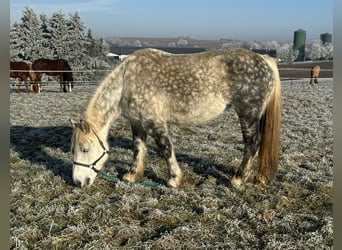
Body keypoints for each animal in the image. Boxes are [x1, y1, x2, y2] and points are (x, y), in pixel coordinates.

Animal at [69, 47, 280, 188]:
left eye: (85, 149)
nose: (78, 181)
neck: (126, 81)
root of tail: (264, 59)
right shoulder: (137, 123)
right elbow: (138, 148)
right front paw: (132, 175)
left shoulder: (154, 122)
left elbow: (166, 148)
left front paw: (174, 179)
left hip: (248, 114)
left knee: (252, 144)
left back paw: (238, 178)